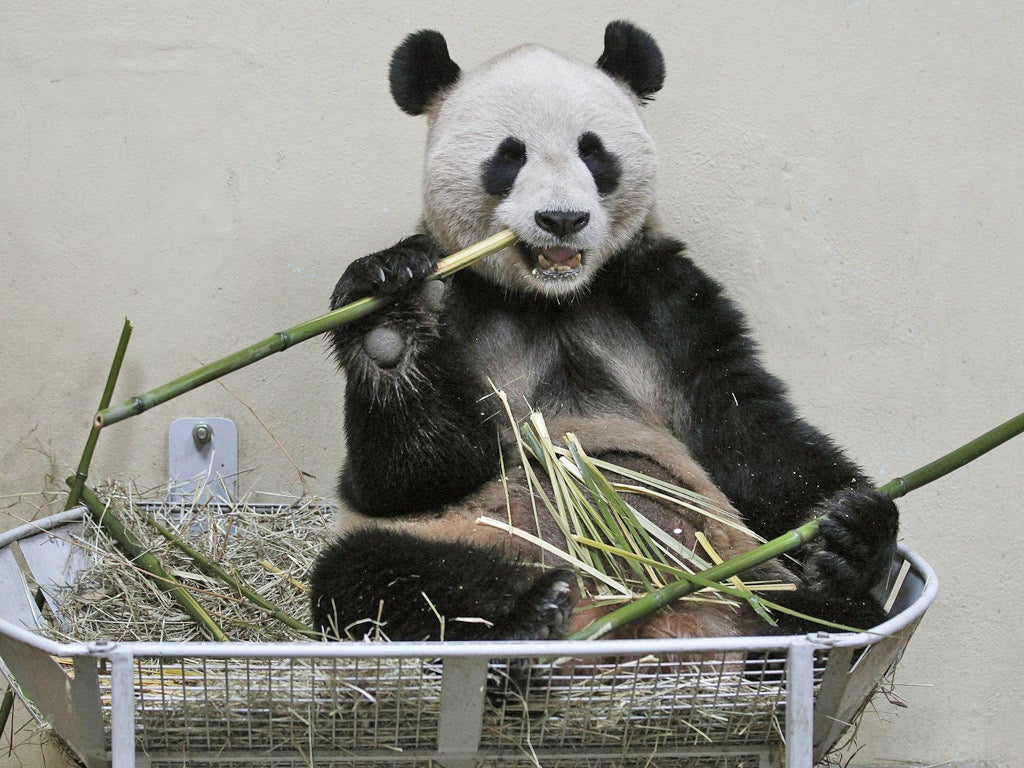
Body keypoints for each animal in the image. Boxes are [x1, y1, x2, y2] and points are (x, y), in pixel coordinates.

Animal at [309, 20, 897, 643]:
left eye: (593, 152)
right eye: (509, 156)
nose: (562, 219)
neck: (553, 300)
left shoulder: (663, 300)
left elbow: (749, 433)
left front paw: (854, 528)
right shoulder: (458, 299)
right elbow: (410, 477)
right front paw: (385, 313)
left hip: (751, 570)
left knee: (825, 610)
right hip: (453, 542)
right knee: (379, 575)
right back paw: (530, 613)